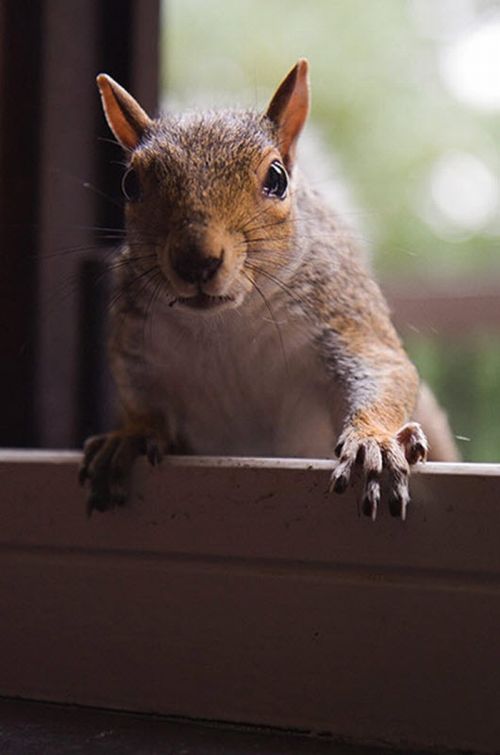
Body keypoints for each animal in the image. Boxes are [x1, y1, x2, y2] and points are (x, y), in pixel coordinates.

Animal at [79, 59, 458, 519]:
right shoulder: (138, 347)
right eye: (130, 184)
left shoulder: (342, 316)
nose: (196, 260)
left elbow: (383, 370)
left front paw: (374, 442)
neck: (223, 323)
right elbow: (140, 397)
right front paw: (131, 436)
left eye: (276, 178)